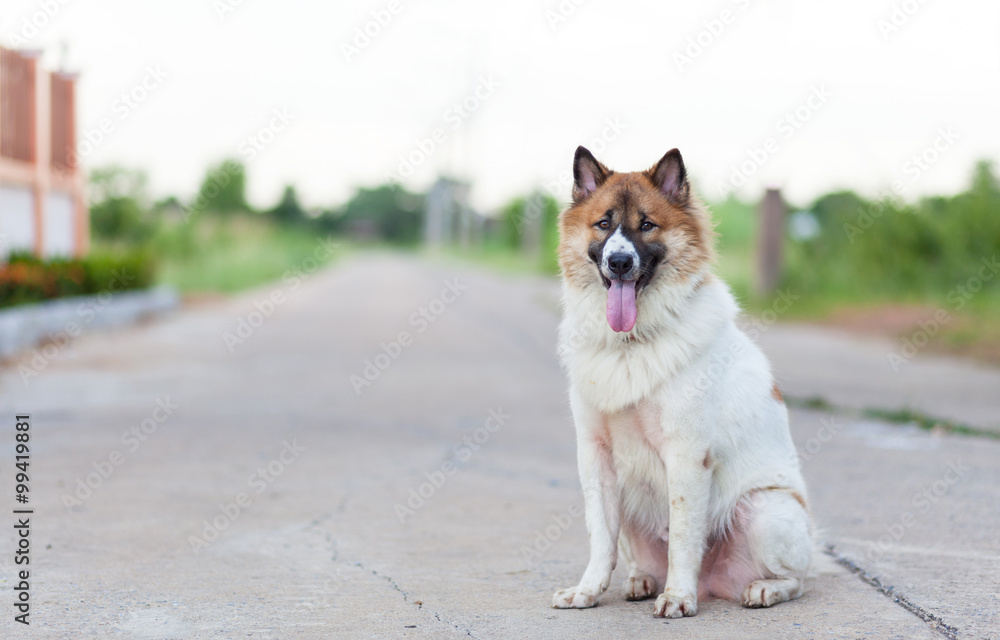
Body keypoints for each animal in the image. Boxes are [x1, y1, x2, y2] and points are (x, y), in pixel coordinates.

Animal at [556, 148, 812, 616]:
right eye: (603, 223)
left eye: (646, 225)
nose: (619, 262)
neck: (631, 344)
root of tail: (714, 584)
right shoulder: (596, 458)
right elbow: (600, 539)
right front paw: (586, 591)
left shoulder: (687, 457)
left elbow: (683, 536)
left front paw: (678, 597)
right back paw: (640, 580)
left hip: (765, 508)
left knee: (799, 580)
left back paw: (762, 590)